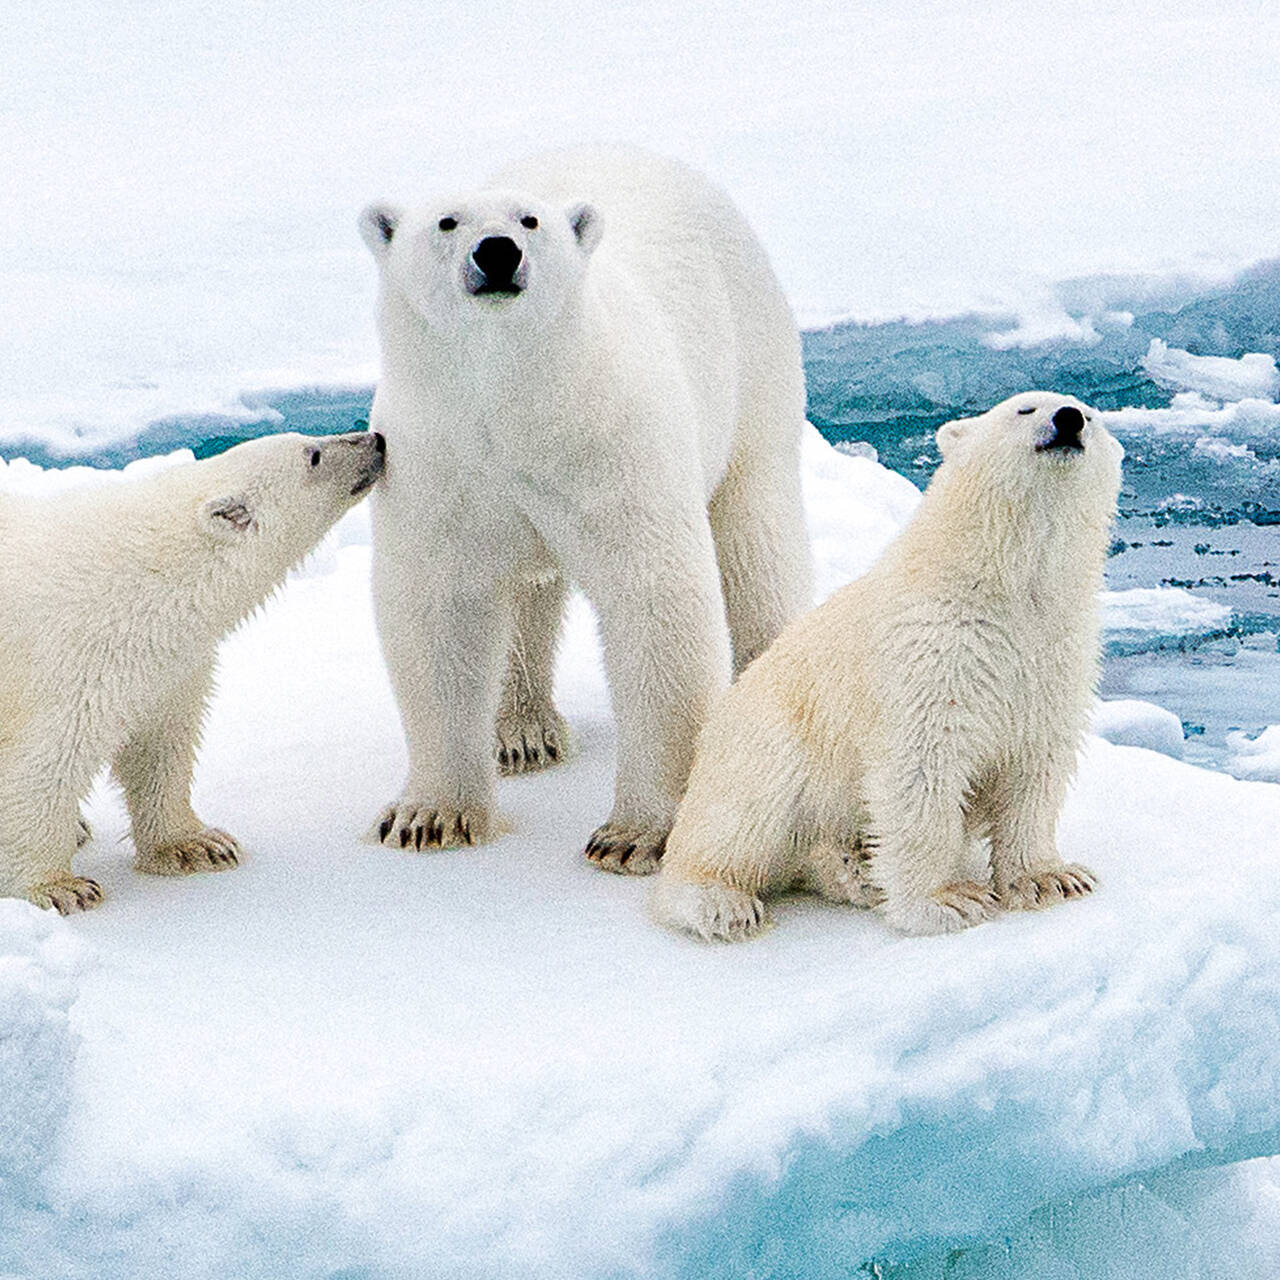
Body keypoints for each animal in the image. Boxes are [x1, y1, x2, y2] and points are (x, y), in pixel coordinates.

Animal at [0, 430, 384, 911]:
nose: (376, 440)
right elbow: (43, 765)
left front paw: (196, 845)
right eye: (312, 455)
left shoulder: (169, 665)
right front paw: (58, 888)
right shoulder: (73, 662)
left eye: (308, 440)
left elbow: (162, 745)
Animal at [358, 145, 808, 875]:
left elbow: (655, 599)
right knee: (526, 592)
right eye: (447, 221)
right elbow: (441, 606)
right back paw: (519, 732)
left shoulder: (611, 443)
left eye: (530, 220)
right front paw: (427, 816)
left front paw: (637, 835)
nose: (498, 251)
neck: (513, 403)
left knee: (755, 540)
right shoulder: (439, 457)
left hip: (752, 353)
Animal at [650, 391, 1121, 942]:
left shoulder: (1055, 657)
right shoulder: (931, 652)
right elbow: (921, 768)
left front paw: (1051, 878)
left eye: (1092, 415)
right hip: (765, 739)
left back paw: (852, 866)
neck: (1002, 590)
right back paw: (720, 900)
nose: (1067, 419)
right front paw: (946, 901)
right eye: (1023, 410)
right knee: (742, 812)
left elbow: (1036, 768)